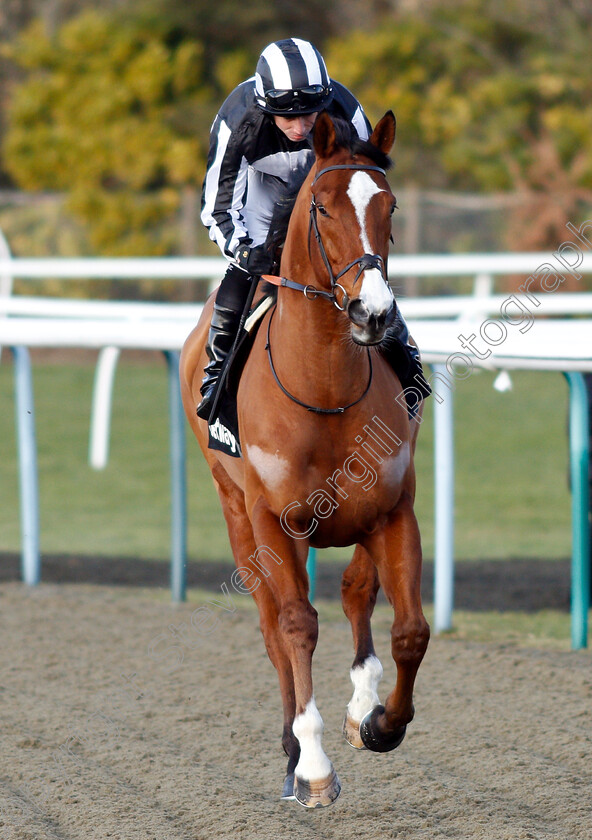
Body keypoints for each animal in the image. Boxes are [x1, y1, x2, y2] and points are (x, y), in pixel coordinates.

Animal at [180, 110, 430, 808]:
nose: (373, 311)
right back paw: (294, 750)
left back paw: (361, 706)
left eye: (390, 206)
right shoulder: (273, 519)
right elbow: (294, 626)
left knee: (356, 592)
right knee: (273, 627)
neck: (322, 389)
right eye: (321, 207)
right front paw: (312, 765)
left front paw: (381, 723)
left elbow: (409, 629)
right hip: (236, 513)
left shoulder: (393, 509)